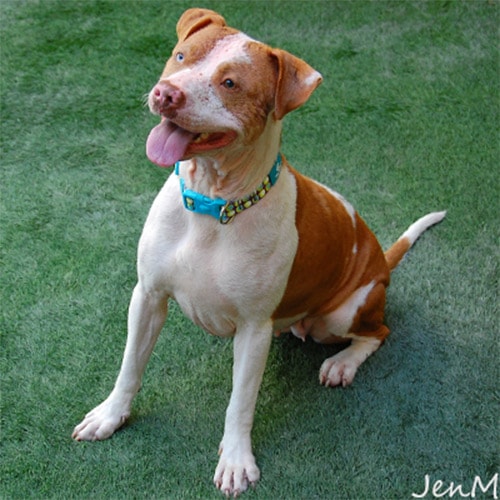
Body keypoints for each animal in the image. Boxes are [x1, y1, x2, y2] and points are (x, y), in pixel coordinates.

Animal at [72, 9, 448, 498]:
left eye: (231, 83)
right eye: (181, 56)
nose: (166, 93)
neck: (213, 203)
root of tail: (382, 260)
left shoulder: (253, 330)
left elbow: (240, 403)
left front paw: (235, 460)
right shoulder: (148, 296)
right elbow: (130, 366)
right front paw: (110, 415)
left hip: (340, 315)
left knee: (377, 332)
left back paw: (342, 363)